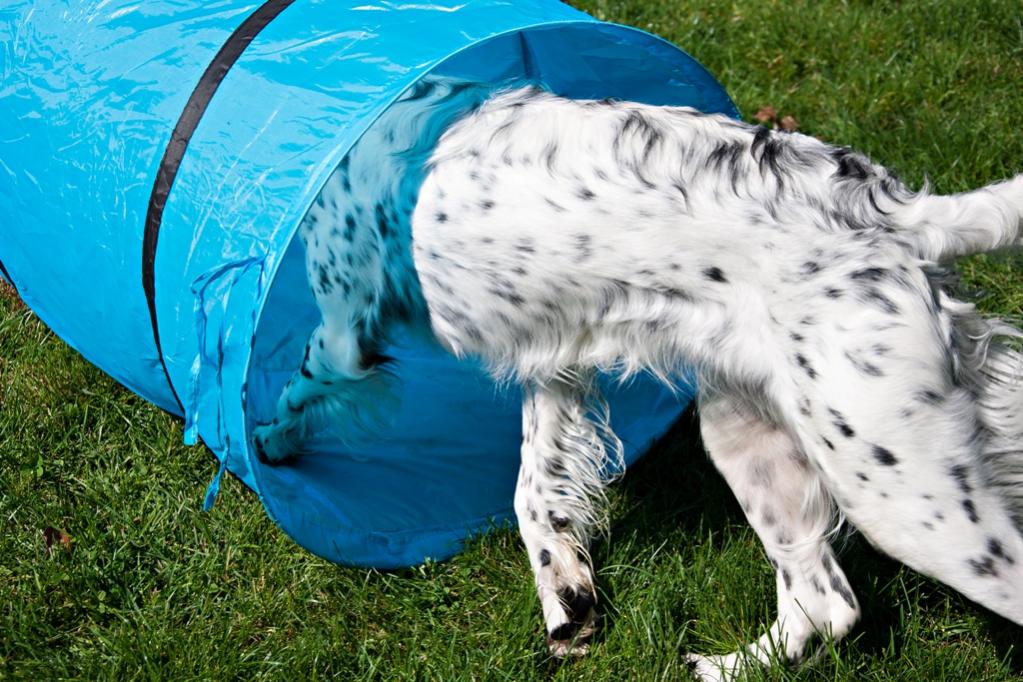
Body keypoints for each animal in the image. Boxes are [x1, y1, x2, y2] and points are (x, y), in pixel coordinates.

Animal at [249, 76, 1023, 682]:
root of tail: (898, 216)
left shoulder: (345, 327)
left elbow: (300, 384)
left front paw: (267, 443)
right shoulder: (554, 368)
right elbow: (536, 492)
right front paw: (566, 602)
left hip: (898, 486)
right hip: (749, 433)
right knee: (826, 601)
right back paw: (725, 664)